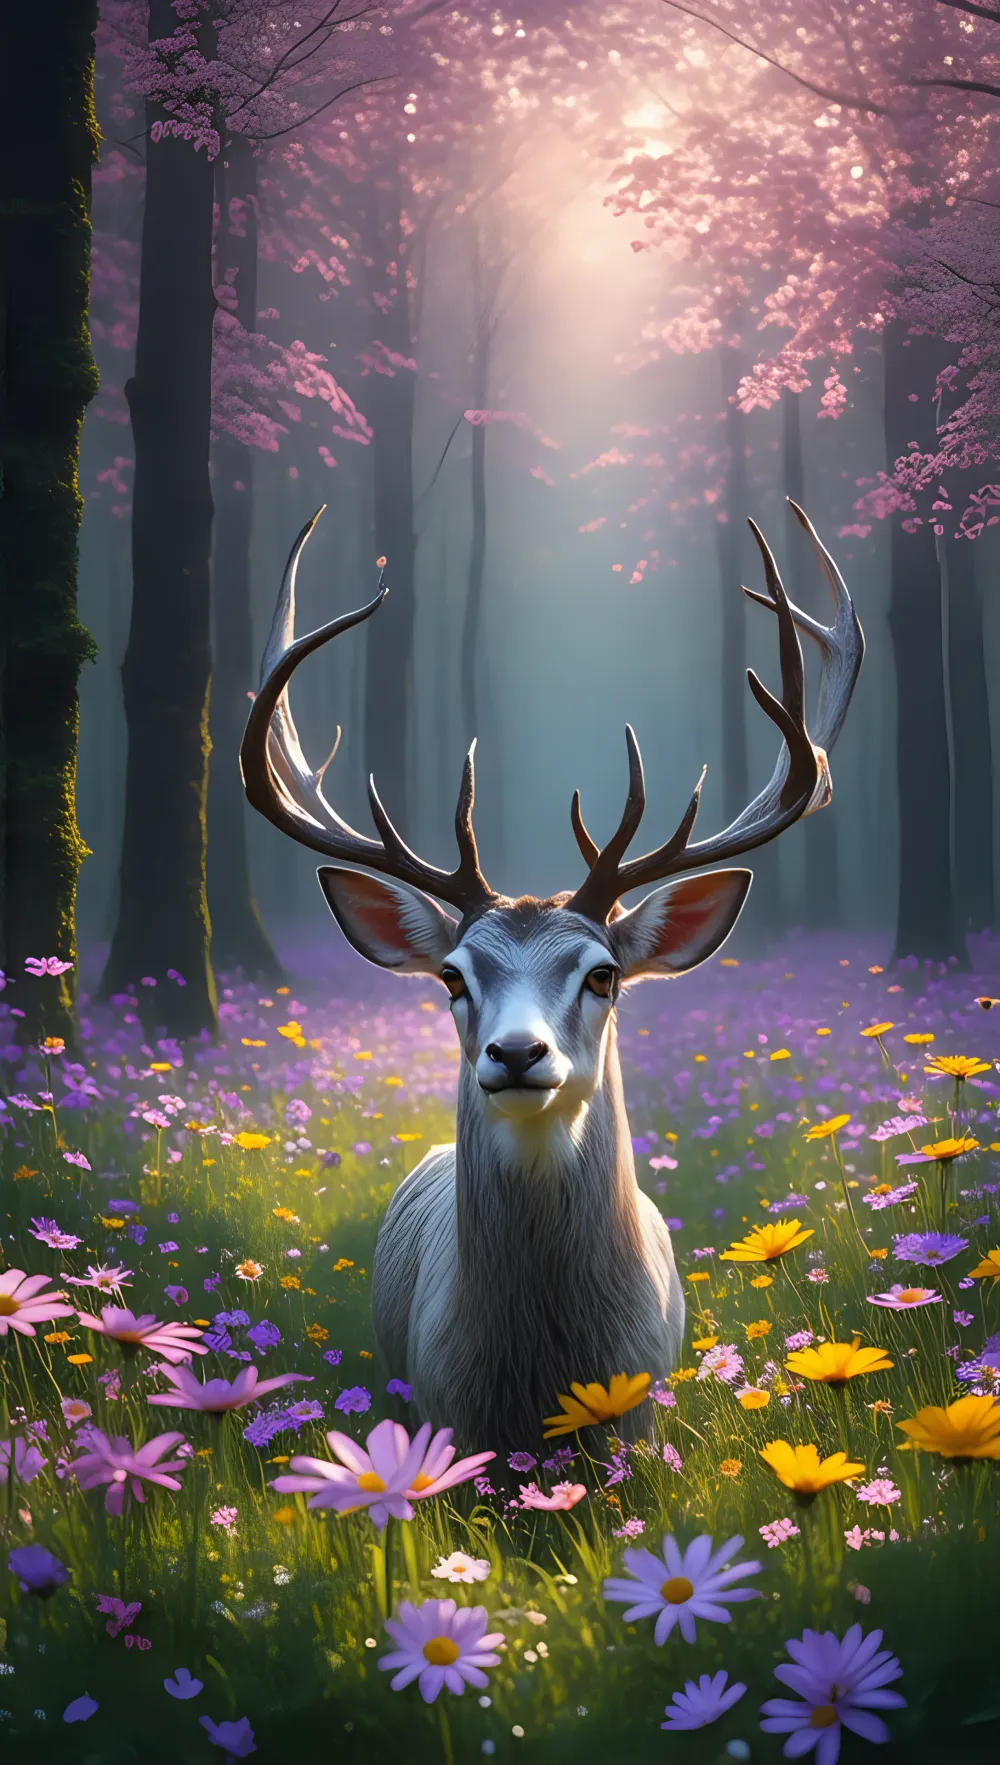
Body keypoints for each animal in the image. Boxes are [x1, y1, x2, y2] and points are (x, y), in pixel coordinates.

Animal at [241, 502, 863, 1454]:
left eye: (603, 974)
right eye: (452, 977)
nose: (517, 1053)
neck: (540, 1383)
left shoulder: (639, 1425)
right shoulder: (443, 1414)